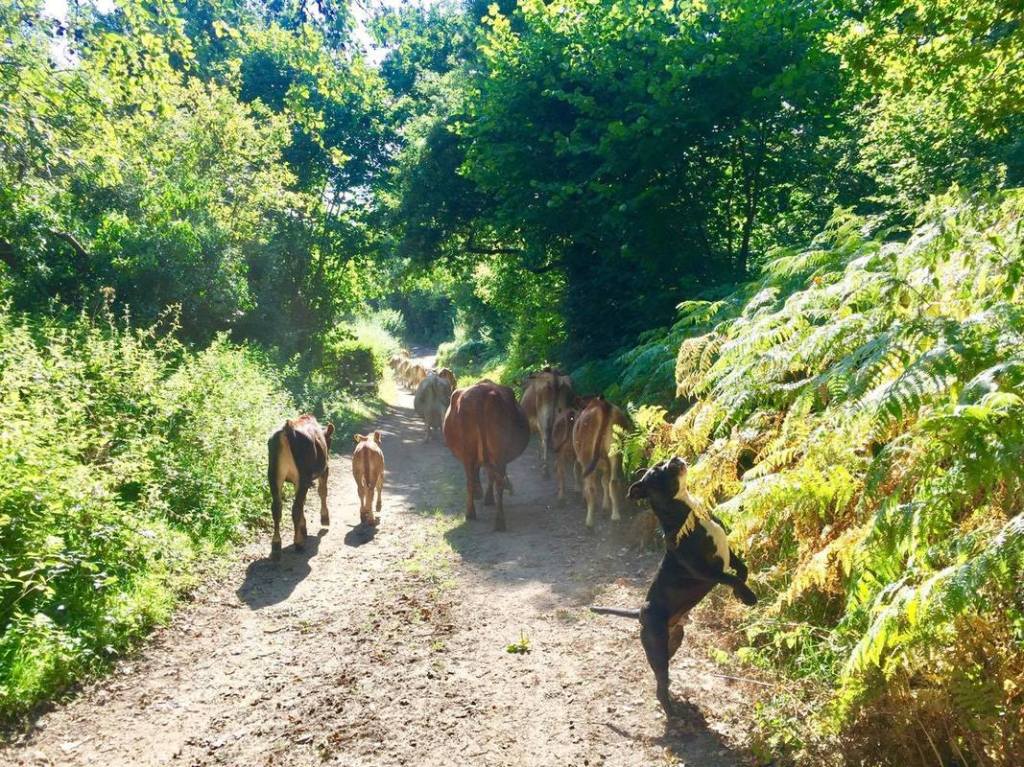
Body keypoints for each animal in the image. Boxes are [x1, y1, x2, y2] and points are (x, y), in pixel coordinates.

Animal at [267, 415, 334, 561]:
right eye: (330, 441)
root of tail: (287, 428)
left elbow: (303, 501)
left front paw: (304, 528)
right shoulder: (324, 470)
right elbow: (322, 492)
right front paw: (324, 518)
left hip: (274, 476)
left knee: (277, 508)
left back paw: (276, 546)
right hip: (303, 476)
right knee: (295, 508)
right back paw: (298, 543)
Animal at [443, 381, 530, 531]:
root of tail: (482, 393)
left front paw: (480, 493)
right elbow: (490, 475)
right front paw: (486, 497)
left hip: (468, 453)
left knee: (470, 480)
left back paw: (471, 513)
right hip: (498, 454)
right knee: (497, 482)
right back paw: (499, 521)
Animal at [572, 395, 632, 529]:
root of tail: (603, 404)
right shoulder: (606, 465)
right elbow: (604, 481)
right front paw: (606, 506)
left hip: (587, 455)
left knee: (591, 489)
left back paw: (589, 522)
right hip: (615, 452)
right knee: (613, 482)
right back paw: (615, 516)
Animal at [591, 457, 757, 714]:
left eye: (662, 463)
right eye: (658, 471)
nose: (674, 458)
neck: (690, 512)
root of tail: (640, 613)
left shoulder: (727, 551)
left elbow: (741, 570)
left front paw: (742, 593)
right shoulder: (702, 570)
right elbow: (730, 577)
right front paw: (748, 596)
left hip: (674, 640)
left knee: (663, 675)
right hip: (657, 648)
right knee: (660, 682)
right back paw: (671, 710)